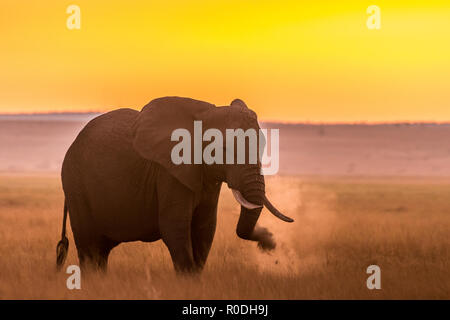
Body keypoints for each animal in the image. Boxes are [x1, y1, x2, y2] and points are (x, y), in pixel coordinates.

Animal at [56, 96, 294, 274]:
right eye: (224, 149)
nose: (269, 243)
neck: (205, 113)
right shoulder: (168, 173)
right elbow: (175, 227)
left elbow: (205, 228)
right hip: (76, 185)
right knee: (89, 247)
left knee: (101, 251)